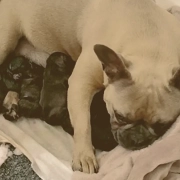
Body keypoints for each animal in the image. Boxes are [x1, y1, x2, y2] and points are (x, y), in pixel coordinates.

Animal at [0, 0, 180, 174]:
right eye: (119, 116)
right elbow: (83, 124)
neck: (151, 47)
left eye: (162, 125)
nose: (137, 139)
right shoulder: (81, 83)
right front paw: (84, 156)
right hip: (6, 41)